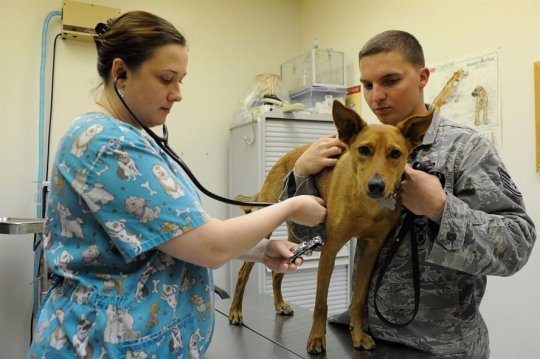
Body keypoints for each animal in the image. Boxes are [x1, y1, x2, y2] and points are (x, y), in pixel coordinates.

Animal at [228, 100, 434, 354]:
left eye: (395, 154)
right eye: (364, 150)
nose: (376, 186)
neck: (366, 204)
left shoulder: (370, 250)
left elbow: (358, 300)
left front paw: (358, 335)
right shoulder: (330, 248)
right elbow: (320, 303)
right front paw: (316, 339)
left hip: (296, 235)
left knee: (277, 272)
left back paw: (279, 304)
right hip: (265, 226)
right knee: (243, 273)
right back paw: (235, 311)